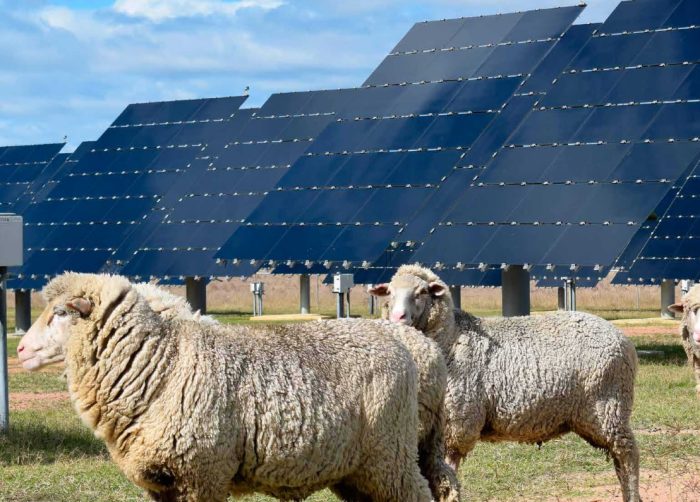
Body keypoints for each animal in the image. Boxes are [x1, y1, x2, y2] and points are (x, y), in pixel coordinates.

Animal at [16, 274, 432, 502]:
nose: (20, 350)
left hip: (389, 456)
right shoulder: (163, 482)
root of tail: (400, 342)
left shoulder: (201, 474)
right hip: (357, 470)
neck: (160, 365)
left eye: (62, 313)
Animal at [372, 264, 640, 502]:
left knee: (628, 455)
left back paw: (632, 495)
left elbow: (448, 475)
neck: (451, 338)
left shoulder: (456, 425)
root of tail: (623, 340)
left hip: (609, 407)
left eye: (422, 292)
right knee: (619, 459)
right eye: (390, 293)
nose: (398, 317)